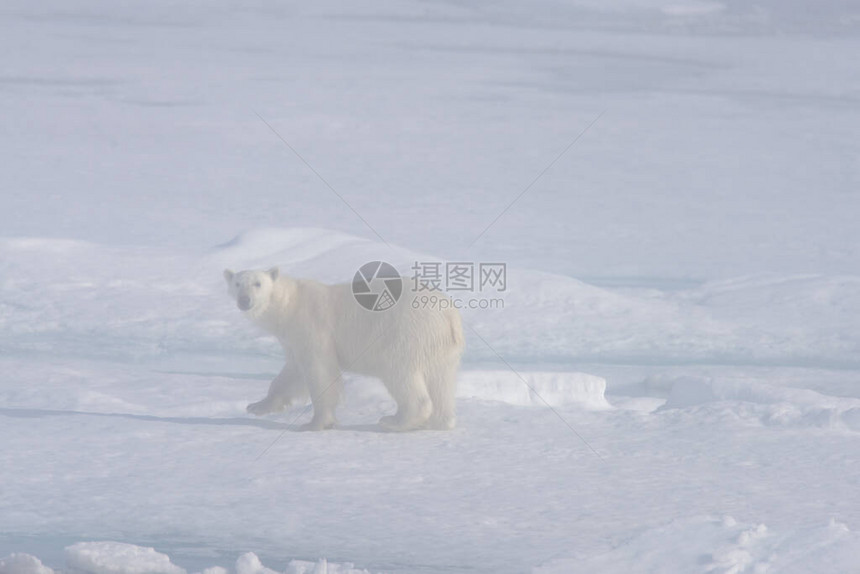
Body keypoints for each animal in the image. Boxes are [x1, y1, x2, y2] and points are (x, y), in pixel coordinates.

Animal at [222, 266, 464, 432]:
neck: (290, 305)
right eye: (237, 284)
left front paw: (314, 423)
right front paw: (257, 406)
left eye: (258, 283)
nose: (244, 300)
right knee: (441, 381)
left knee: (398, 371)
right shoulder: (292, 340)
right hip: (440, 346)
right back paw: (438, 421)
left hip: (406, 332)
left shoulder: (313, 327)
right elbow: (292, 373)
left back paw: (394, 421)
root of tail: (449, 314)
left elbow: (319, 371)